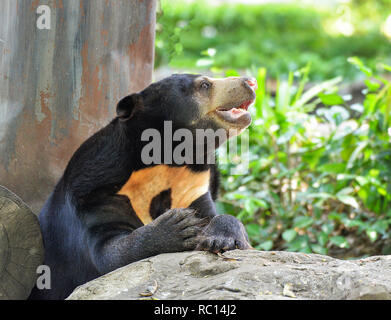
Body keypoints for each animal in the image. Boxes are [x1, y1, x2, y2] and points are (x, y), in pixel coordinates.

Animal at [29, 74, 258, 298]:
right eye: (204, 85)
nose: (251, 82)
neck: (168, 160)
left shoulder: (192, 187)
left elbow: (217, 220)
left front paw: (219, 238)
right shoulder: (95, 194)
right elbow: (109, 254)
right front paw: (176, 227)